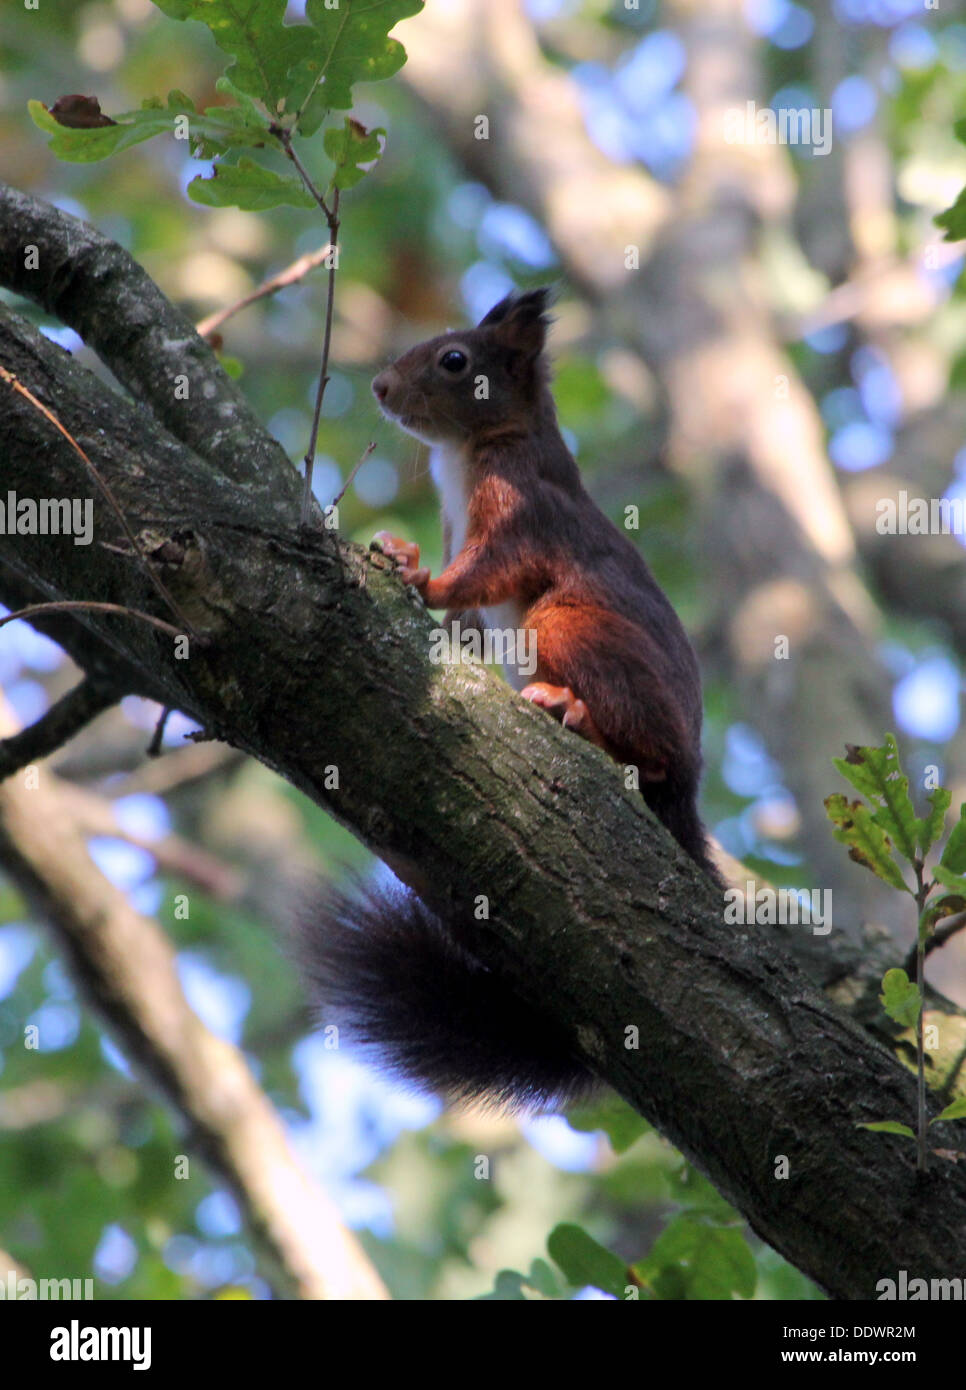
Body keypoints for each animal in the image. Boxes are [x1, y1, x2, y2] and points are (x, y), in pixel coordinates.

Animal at [303, 290, 717, 1106]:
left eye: (455, 360)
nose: (381, 389)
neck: (469, 450)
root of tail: (691, 782)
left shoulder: (517, 507)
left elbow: (485, 571)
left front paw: (420, 578)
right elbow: (461, 625)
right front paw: (403, 557)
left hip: (569, 628)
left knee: (648, 755)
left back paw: (573, 713)